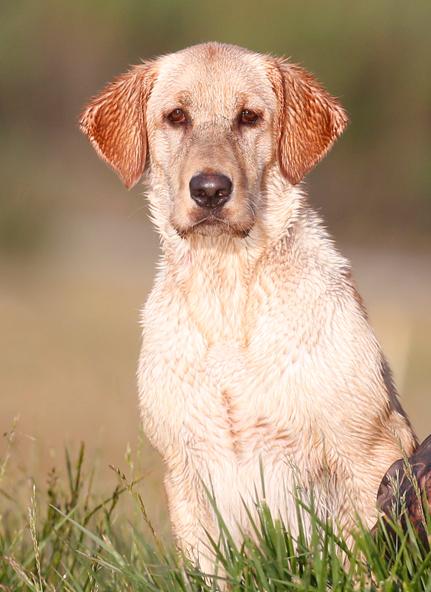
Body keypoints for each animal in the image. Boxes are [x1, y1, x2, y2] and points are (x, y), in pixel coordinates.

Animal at [80, 42, 417, 569]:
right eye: (176, 116)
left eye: (249, 117)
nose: (210, 190)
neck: (228, 289)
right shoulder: (185, 474)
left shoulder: (368, 452)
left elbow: (363, 564)